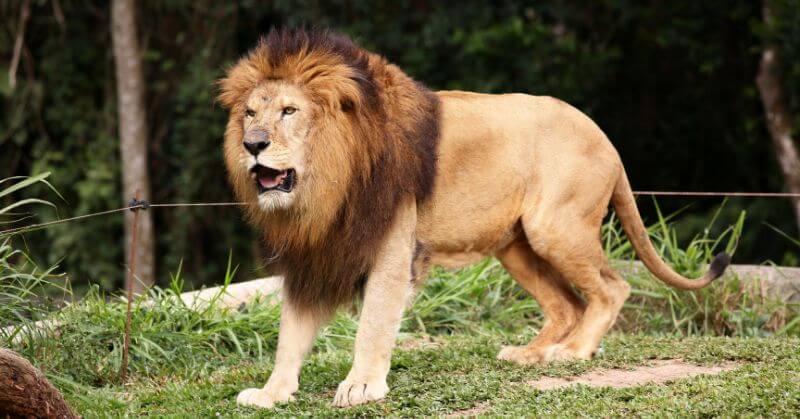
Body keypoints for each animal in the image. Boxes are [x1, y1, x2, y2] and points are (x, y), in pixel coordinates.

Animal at [218, 28, 730, 409]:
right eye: (250, 113)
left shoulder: (392, 248)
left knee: (611, 288)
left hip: (555, 227)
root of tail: (605, 138)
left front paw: (361, 385)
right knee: (568, 304)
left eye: (289, 111)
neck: (326, 184)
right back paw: (529, 354)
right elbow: (291, 333)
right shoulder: (314, 254)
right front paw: (271, 393)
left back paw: (571, 352)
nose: (253, 144)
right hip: (516, 246)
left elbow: (374, 323)